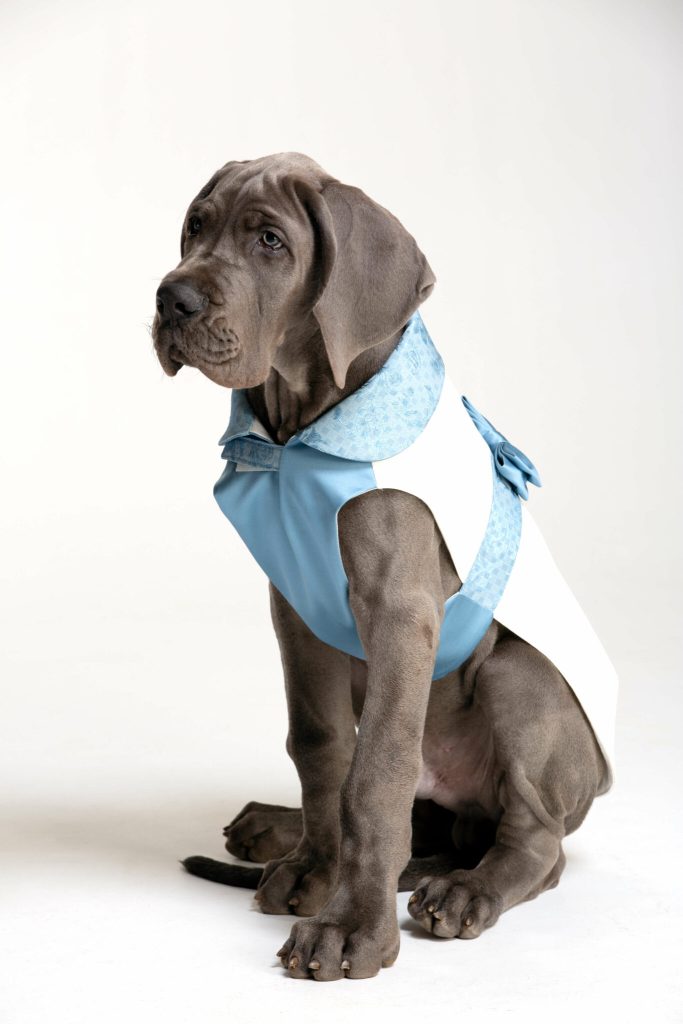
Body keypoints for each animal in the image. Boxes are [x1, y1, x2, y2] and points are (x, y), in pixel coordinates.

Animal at [152, 153, 618, 983]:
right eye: (195, 227)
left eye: (270, 240)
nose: (170, 298)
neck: (297, 435)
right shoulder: (296, 608)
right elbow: (320, 747)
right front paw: (315, 869)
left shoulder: (397, 610)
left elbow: (376, 775)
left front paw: (353, 931)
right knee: (419, 818)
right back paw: (277, 828)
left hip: (520, 680)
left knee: (535, 843)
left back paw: (466, 891)